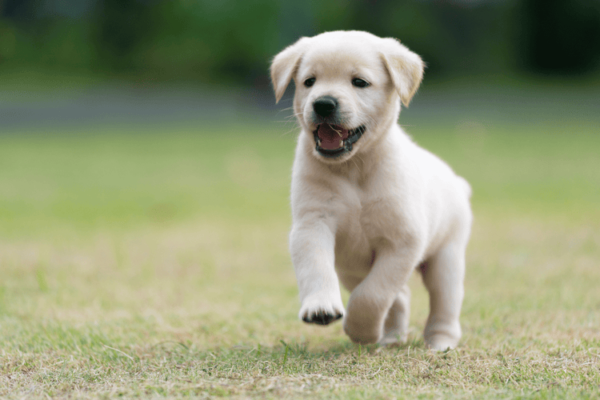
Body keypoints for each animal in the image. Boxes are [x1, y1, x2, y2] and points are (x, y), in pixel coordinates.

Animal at [270, 31, 472, 350]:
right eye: (309, 81)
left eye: (360, 82)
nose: (323, 103)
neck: (355, 168)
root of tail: (457, 183)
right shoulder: (312, 223)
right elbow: (316, 267)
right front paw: (321, 307)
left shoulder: (403, 242)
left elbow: (373, 294)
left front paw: (361, 330)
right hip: (351, 268)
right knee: (400, 297)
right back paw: (391, 337)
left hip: (447, 257)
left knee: (443, 303)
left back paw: (440, 343)